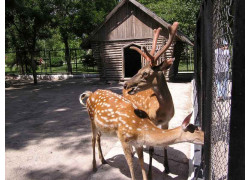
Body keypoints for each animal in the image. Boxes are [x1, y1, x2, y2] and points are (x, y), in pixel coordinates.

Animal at [122, 21, 178, 175]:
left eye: (145, 73)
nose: (126, 84)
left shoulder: (167, 121)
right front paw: (150, 173)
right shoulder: (152, 121)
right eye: (138, 70)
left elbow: (165, 144)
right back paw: (133, 151)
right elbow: (152, 149)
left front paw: (167, 167)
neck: (162, 111)